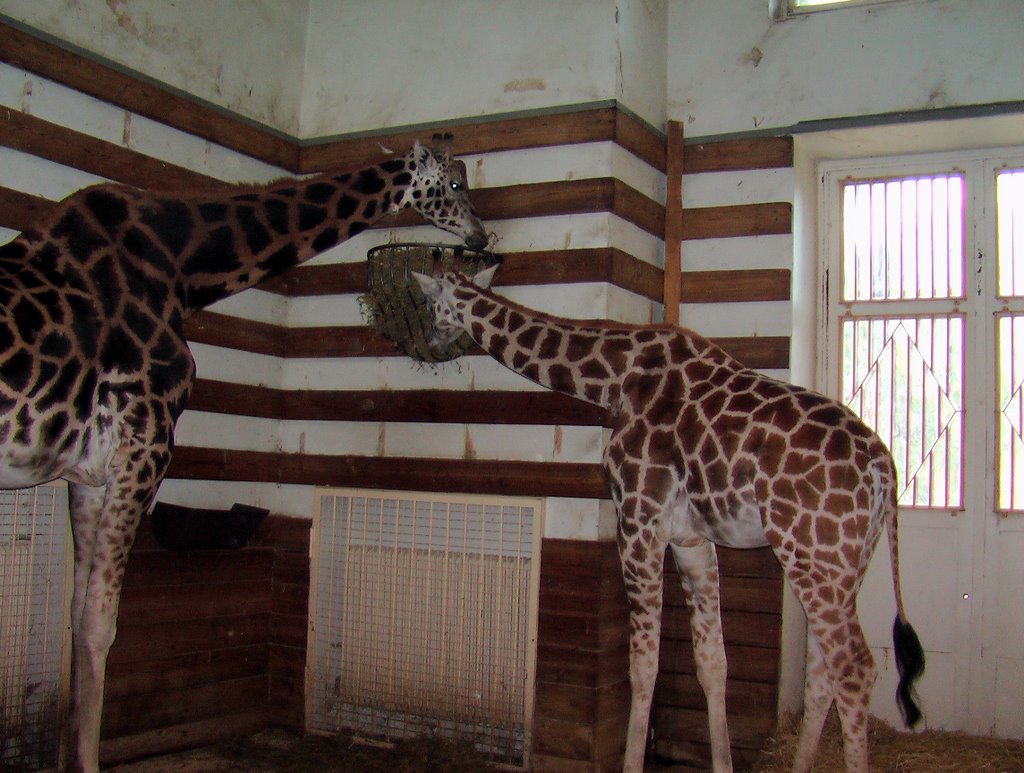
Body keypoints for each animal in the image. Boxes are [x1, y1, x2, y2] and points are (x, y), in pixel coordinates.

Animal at [0, 139, 487, 773]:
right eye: (454, 184)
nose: (481, 235)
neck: (184, 269)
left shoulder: (85, 473)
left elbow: (80, 618)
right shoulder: (145, 443)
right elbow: (98, 627)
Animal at [411, 268, 925, 773]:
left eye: (430, 304)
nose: (430, 344)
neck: (617, 378)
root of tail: (883, 465)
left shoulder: (638, 521)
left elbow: (643, 667)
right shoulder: (690, 539)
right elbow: (712, 663)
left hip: (812, 554)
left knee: (855, 669)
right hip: (841, 564)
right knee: (823, 673)